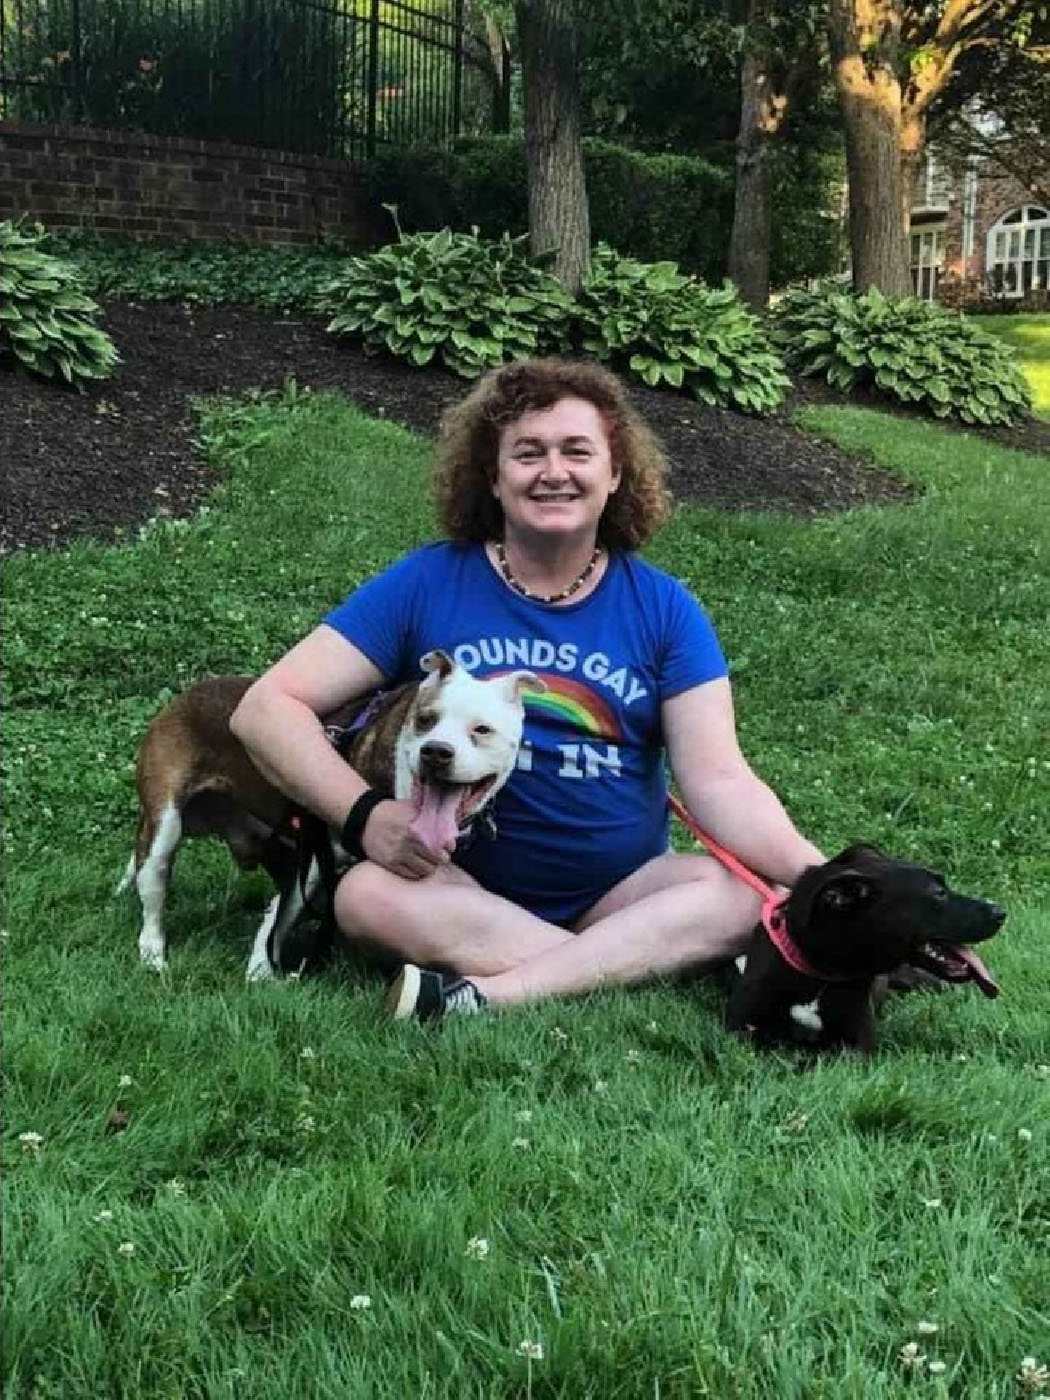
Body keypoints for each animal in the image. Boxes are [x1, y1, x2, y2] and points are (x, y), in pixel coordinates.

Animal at [119, 649, 543, 980]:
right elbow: (281, 915)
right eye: (425, 719)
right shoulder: (315, 855)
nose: (436, 752)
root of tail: (183, 697)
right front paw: (261, 971)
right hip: (165, 829)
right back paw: (153, 954)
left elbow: (280, 911)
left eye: (482, 730)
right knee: (153, 889)